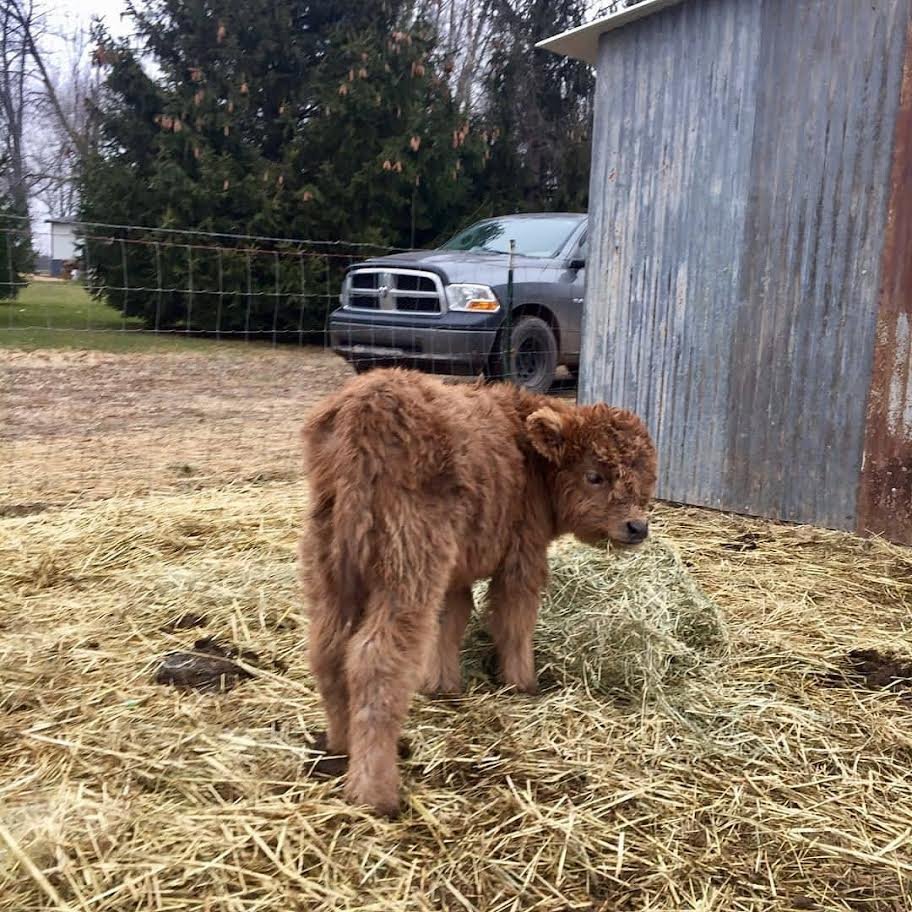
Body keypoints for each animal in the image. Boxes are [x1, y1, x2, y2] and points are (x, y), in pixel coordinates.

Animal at [299, 368, 657, 815]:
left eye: (643, 476)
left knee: (328, 649)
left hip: (330, 564)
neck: (532, 462)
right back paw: (376, 792)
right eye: (595, 474)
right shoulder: (523, 556)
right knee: (375, 658)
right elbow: (514, 621)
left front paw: (443, 685)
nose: (637, 527)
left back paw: (341, 748)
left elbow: (451, 622)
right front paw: (523, 684)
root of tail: (367, 404)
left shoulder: (457, 572)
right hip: (409, 562)